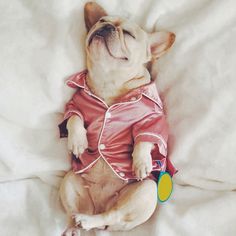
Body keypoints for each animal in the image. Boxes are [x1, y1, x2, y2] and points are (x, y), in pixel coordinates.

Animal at [59, 2, 175, 236]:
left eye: (129, 34)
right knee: (76, 212)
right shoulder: (76, 104)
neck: (109, 81)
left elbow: (145, 138)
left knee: (113, 215)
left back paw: (88, 221)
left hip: (145, 191)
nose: (106, 26)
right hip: (69, 181)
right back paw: (76, 225)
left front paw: (141, 162)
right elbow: (73, 118)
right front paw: (78, 141)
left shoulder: (153, 118)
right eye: (101, 21)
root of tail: (99, 207)